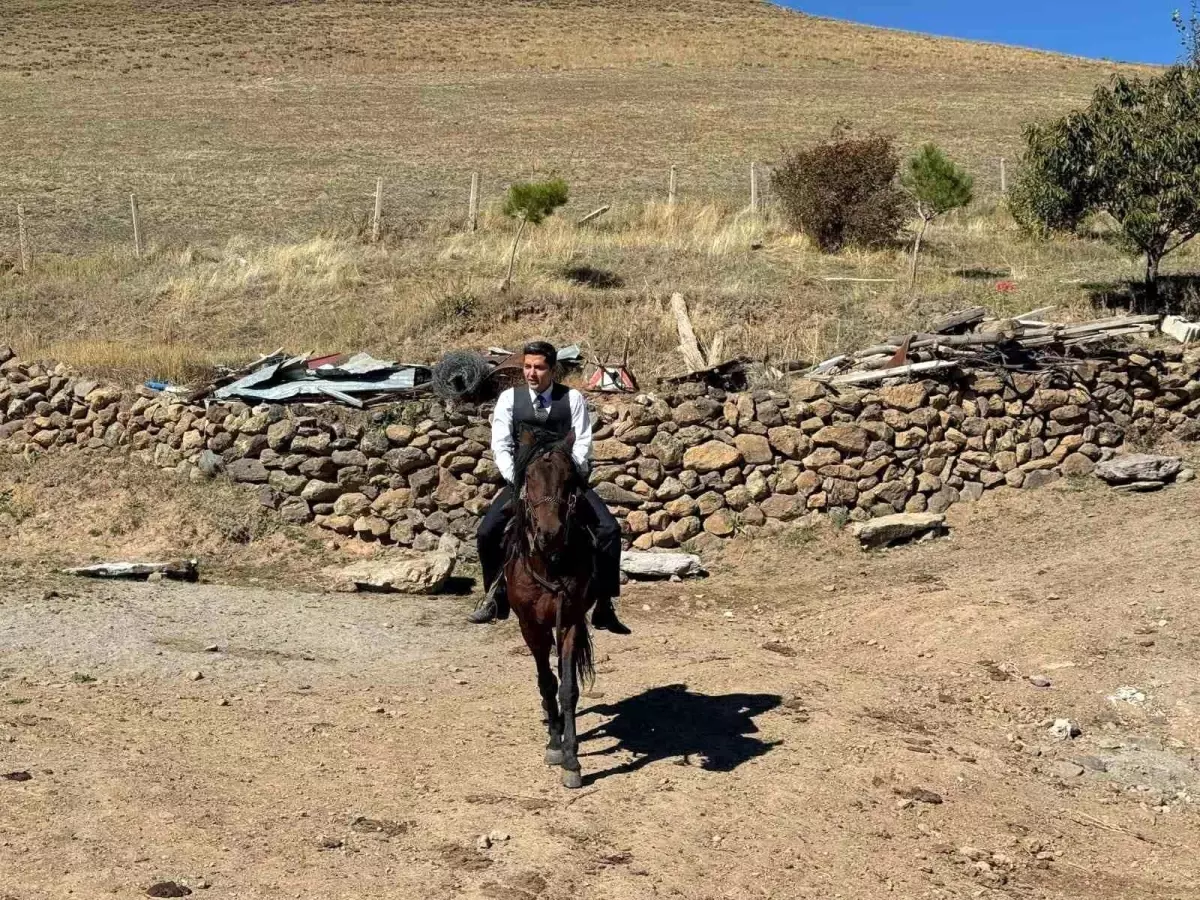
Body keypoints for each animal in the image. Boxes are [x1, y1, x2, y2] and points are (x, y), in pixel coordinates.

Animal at [501, 427, 595, 787]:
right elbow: (546, 682)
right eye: (529, 476)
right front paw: (555, 745)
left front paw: (571, 758)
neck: (550, 563)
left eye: (568, 477)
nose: (550, 533)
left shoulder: (569, 621)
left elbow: (567, 689)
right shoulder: (530, 626)